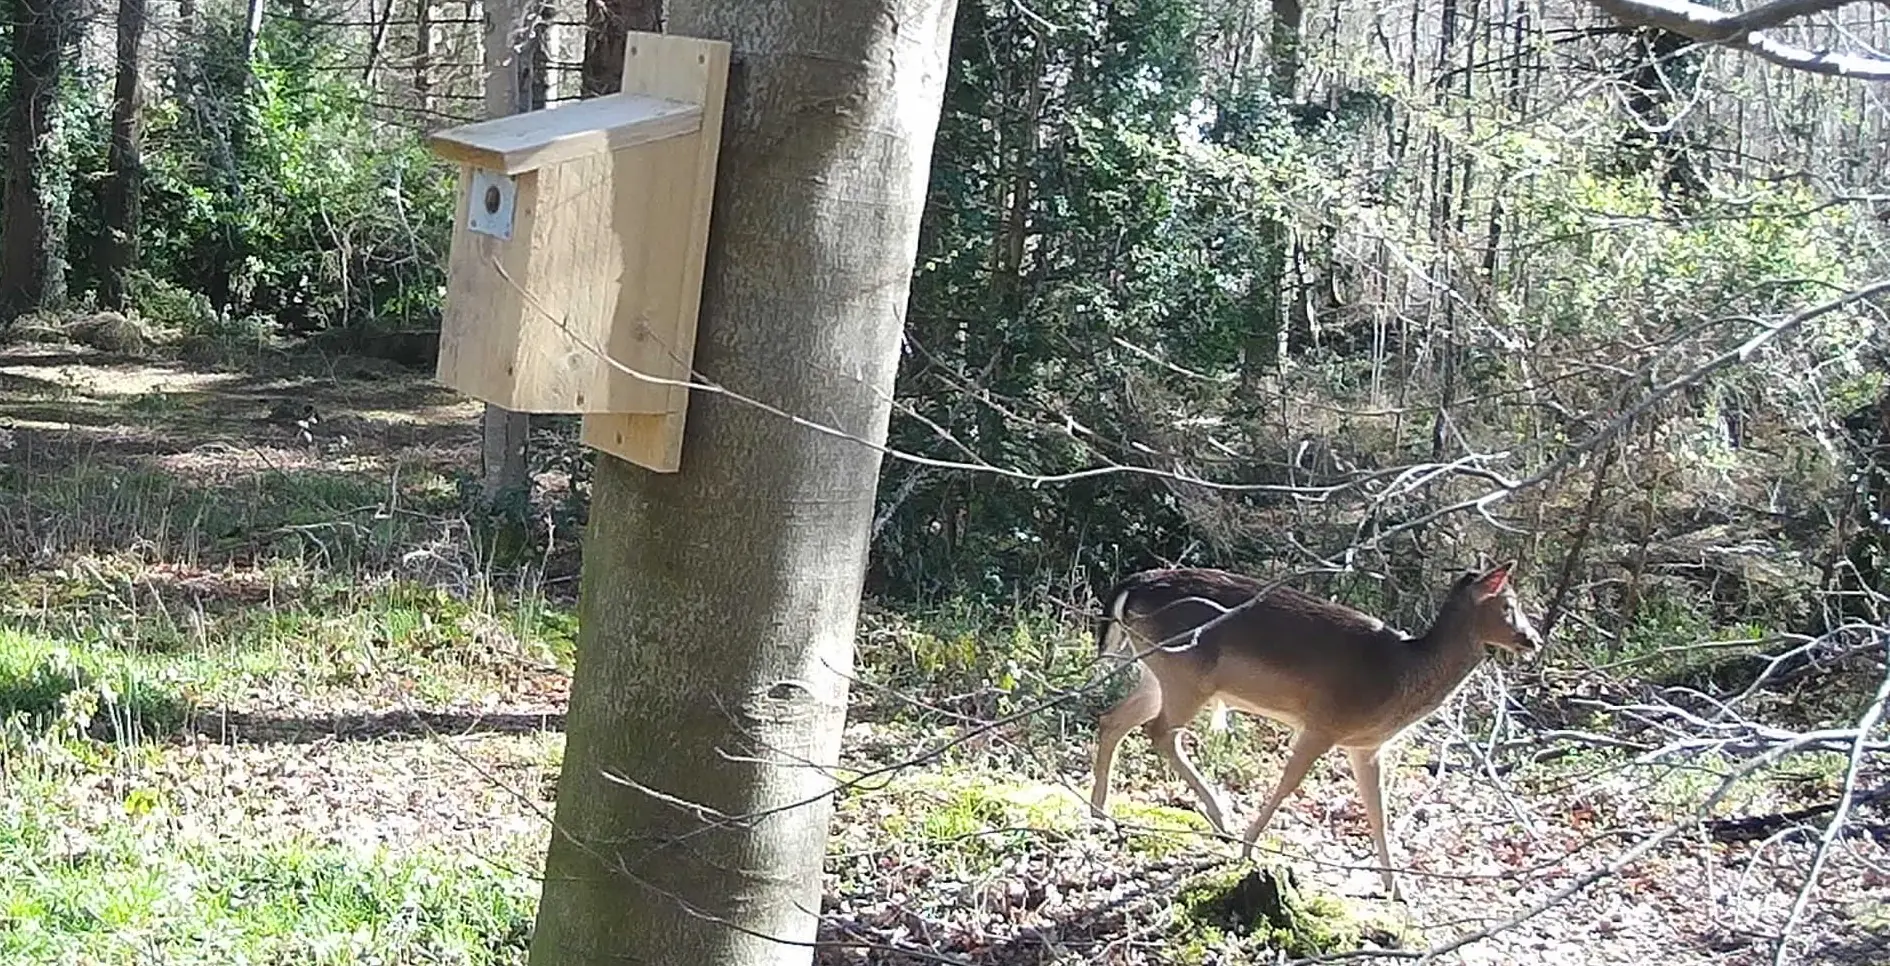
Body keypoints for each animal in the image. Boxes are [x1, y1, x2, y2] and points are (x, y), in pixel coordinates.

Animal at [1086, 560, 1542, 900]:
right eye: (1508, 605)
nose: (1533, 640)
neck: (1401, 677)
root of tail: (1135, 583)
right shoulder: (1324, 723)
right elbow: (1288, 782)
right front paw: (1251, 847)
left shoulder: (1366, 746)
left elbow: (1378, 812)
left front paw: (1398, 889)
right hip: (1185, 675)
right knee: (1160, 732)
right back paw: (1221, 817)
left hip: (1156, 672)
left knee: (1113, 719)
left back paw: (1100, 812)